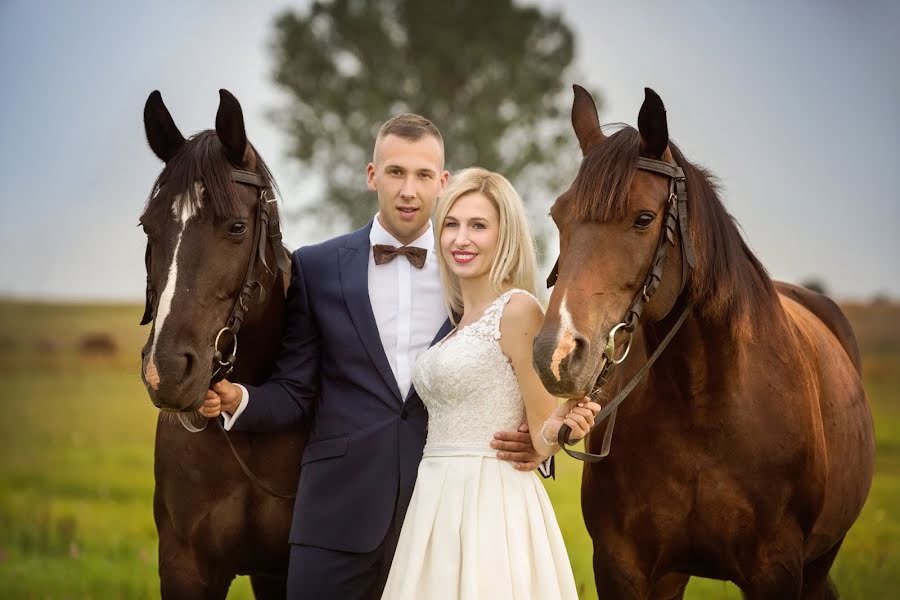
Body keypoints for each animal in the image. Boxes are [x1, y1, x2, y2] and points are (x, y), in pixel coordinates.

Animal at [532, 85, 876, 600]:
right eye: (558, 216)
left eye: (643, 219)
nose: (555, 355)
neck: (702, 406)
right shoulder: (622, 567)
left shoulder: (778, 569)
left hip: (819, 563)